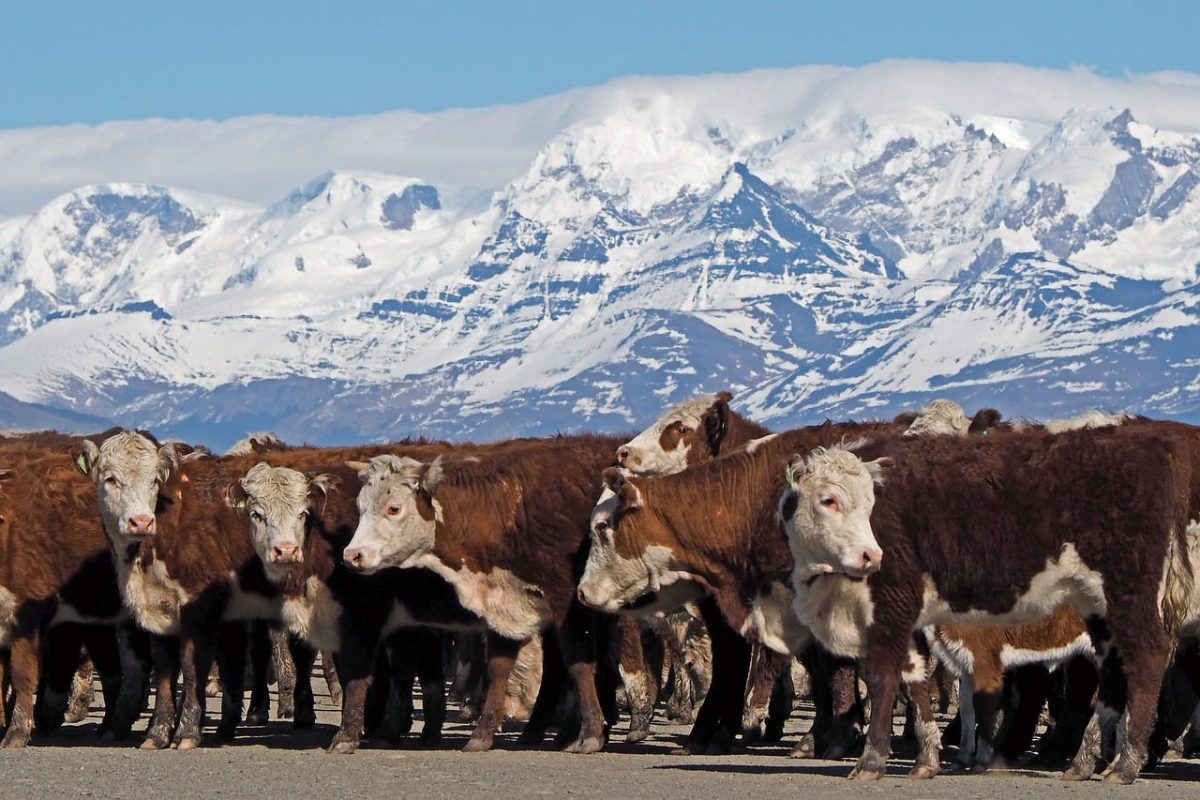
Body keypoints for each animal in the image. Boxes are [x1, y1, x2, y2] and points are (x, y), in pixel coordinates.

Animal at [343, 434, 625, 753]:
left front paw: (591, 733)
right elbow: (499, 668)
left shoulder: (568, 602)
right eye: (360, 506)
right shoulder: (504, 602)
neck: (509, 507)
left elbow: (579, 663)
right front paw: (482, 733)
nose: (352, 555)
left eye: (394, 508)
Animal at [779, 425, 1194, 783]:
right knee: (1113, 671)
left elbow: (882, 678)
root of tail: (1149, 448)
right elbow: (914, 681)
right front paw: (927, 760)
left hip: (1129, 593)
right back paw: (1084, 762)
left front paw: (871, 761)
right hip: (1096, 605)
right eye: (828, 499)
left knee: (1147, 658)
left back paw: (1125, 764)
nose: (871, 555)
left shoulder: (892, 604)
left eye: (871, 502)